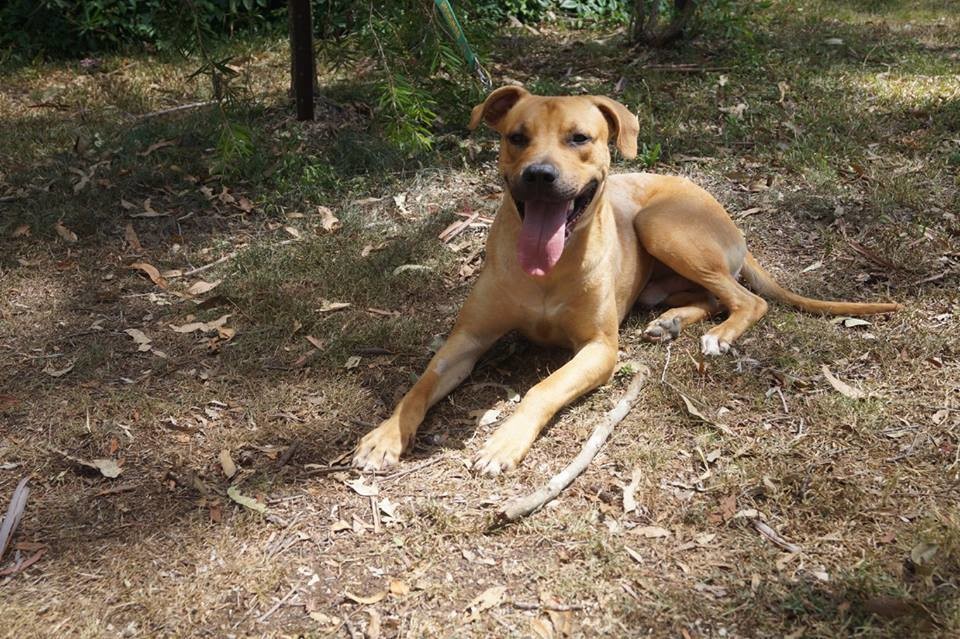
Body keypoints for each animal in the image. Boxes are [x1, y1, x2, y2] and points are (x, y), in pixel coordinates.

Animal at [352, 86, 901, 475]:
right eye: (516, 136)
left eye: (579, 138)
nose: (539, 175)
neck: (549, 270)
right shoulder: (466, 339)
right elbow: (421, 383)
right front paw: (386, 435)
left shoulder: (599, 349)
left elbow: (543, 389)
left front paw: (505, 440)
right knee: (709, 295)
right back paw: (672, 321)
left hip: (661, 225)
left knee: (746, 299)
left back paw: (718, 335)